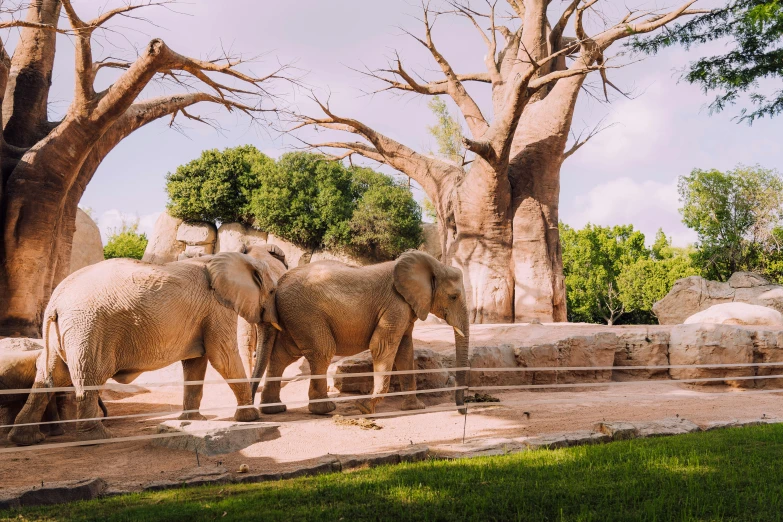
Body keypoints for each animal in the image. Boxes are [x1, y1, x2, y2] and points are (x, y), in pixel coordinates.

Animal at [9, 250, 280, 444]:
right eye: (272, 290)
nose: (260, 407)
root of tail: (54, 301)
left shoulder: (203, 315)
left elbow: (195, 364)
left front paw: (193, 421)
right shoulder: (216, 309)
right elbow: (223, 357)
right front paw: (250, 419)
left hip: (66, 333)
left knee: (51, 375)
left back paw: (25, 440)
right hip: (87, 329)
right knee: (88, 376)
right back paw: (98, 438)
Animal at [254, 251, 468, 414]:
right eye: (453, 296)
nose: (462, 410)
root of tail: (279, 282)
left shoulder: (406, 308)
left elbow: (405, 350)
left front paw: (414, 408)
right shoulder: (395, 305)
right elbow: (382, 346)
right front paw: (364, 408)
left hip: (293, 316)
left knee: (283, 355)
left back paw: (274, 409)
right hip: (304, 313)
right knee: (322, 351)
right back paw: (324, 410)